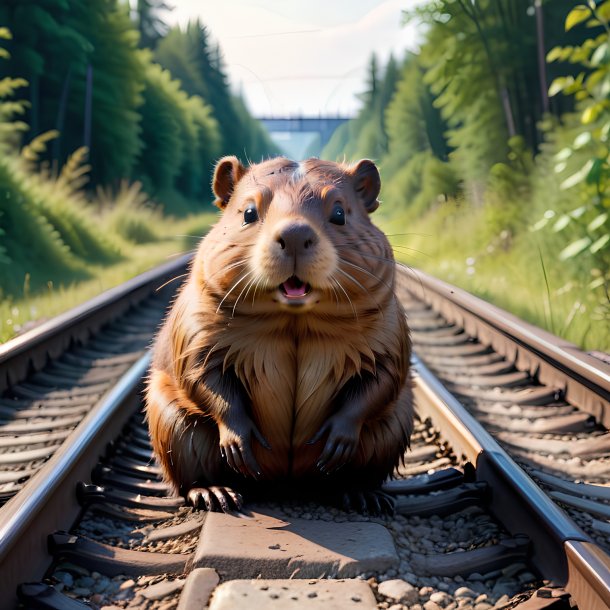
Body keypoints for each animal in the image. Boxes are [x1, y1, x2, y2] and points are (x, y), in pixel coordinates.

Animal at [144, 154, 410, 510]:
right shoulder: (195, 324)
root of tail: (286, 484)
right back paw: (216, 494)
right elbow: (202, 375)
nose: (295, 234)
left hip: (392, 428)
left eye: (340, 213)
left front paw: (336, 443)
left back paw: (364, 496)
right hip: (173, 423)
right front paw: (238, 445)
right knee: (190, 472)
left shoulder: (388, 328)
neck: (293, 319)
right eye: (248, 212)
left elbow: (382, 377)